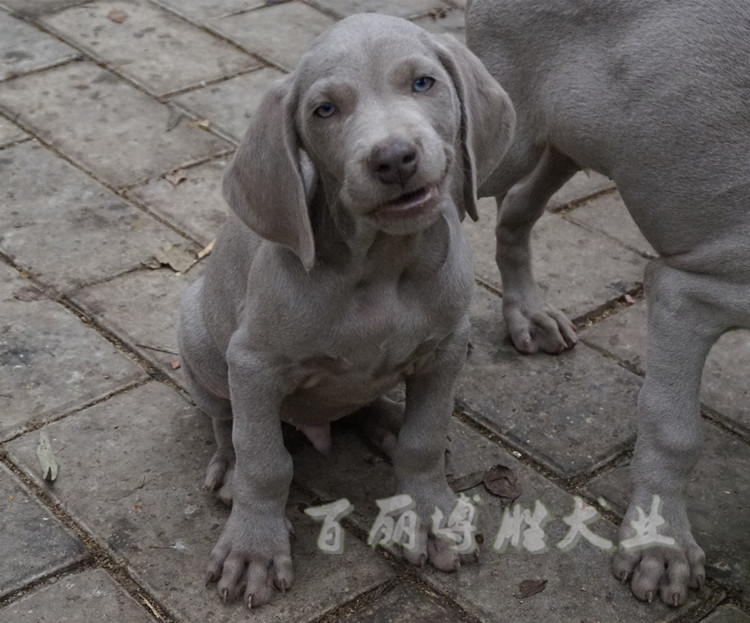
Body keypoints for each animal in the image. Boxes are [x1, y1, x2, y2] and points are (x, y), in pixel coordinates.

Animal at [179, 13, 516, 608]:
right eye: (325, 110)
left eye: (423, 83)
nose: (394, 158)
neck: (381, 266)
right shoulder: (253, 364)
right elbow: (265, 460)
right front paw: (254, 548)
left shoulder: (447, 347)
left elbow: (424, 439)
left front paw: (429, 515)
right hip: (196, 331)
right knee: (225, 420)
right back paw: (228, 469)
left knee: (366, 406)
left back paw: (386, 420)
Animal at [468, 0, 748, 608]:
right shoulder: (691, 294)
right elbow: (673, 428)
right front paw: (660, 546)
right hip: (506, 136)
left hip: (577, 136)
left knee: (515, 209)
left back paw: (528, 315)